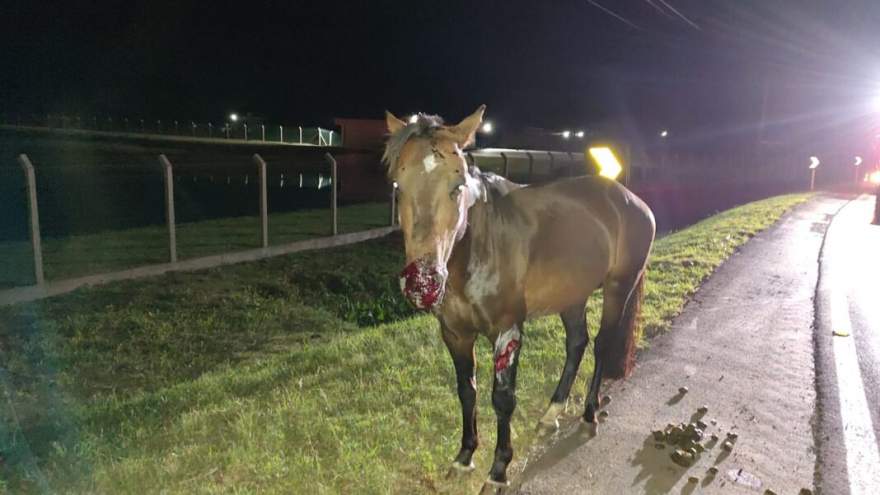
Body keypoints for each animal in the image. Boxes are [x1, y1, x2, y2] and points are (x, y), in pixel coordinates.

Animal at [384, 106, 652, 490]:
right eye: (398, 187)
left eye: (457, 186)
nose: (422, 282)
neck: (478, 248)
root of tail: (632, 199)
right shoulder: (455, 334)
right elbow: (466, 391)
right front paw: (464, 457)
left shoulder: (507, 331)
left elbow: (503, 399)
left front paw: (498, 470)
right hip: (572, 294)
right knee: (577, 343)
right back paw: (551, 414)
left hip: (619, 286)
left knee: (602, 344)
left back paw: (589, 415)